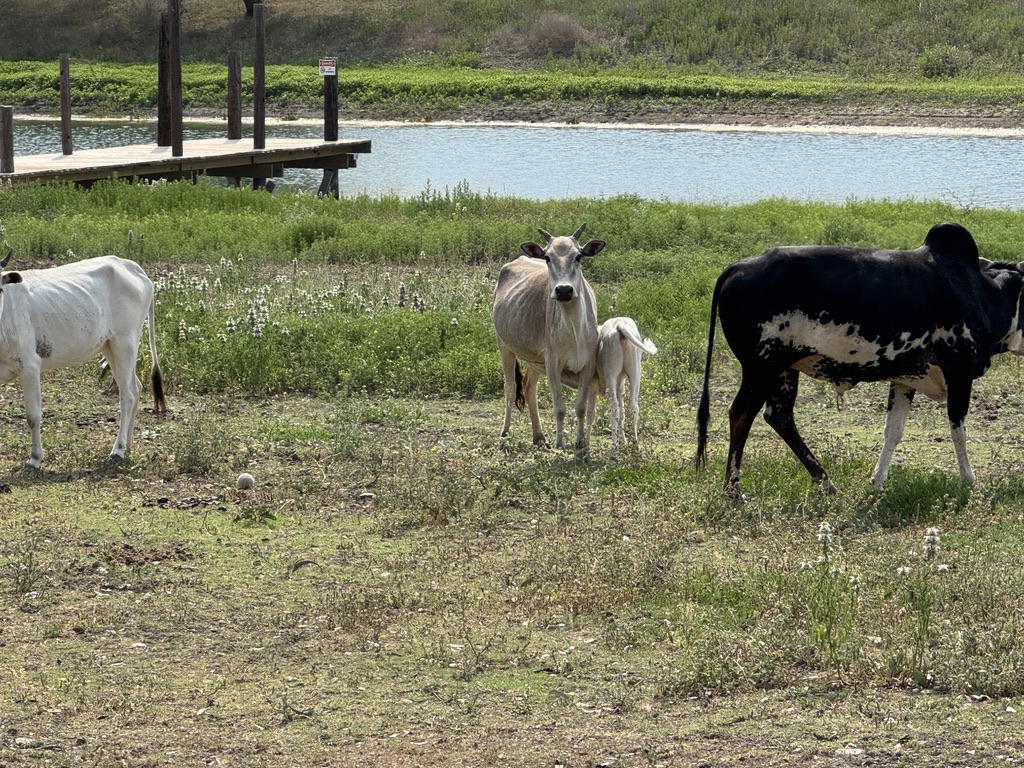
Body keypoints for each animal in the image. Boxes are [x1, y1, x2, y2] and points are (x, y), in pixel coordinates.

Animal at [0, 254, 166, 469]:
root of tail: (128, 264)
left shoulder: (29, 366)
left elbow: (33, 416)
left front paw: (35, 459)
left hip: (125, 342)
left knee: (128, 394)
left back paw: (118, 449)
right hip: (109, 346)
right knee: (135, 387)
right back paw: (128, 444)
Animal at [493, 225, 605, 456]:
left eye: (579, 256)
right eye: (547, 257)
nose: (564, 290)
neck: (574, 329)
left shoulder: (588, 364)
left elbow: (580, 407)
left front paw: (580, 444)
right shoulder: (553, 363)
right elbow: (559, 408)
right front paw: (560, 445)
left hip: (535, 361)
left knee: (528, 388)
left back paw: (539, 438)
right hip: (504, 346)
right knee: (510, 388)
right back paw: (505, 434)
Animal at [597, 317, 658, 458]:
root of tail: (620, 325)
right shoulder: (621, 383)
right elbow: (622, 410)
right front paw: (624, 441)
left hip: (611, 373)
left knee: (613, 407)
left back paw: (614, 450)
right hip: (635, 370)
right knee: (633, 405)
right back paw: (635, 446)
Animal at [693, 223, 1024, 495]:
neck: (979, 291)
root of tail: (741, 266)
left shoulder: (906, 379)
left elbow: (893, 431)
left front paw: (877, 481)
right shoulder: (960, 371)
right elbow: (959, 430)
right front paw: (969, 480)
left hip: (783, 370)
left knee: (779, 416)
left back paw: (826, 483)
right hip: (761, 367)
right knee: (741, 414)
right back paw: (734, 491)